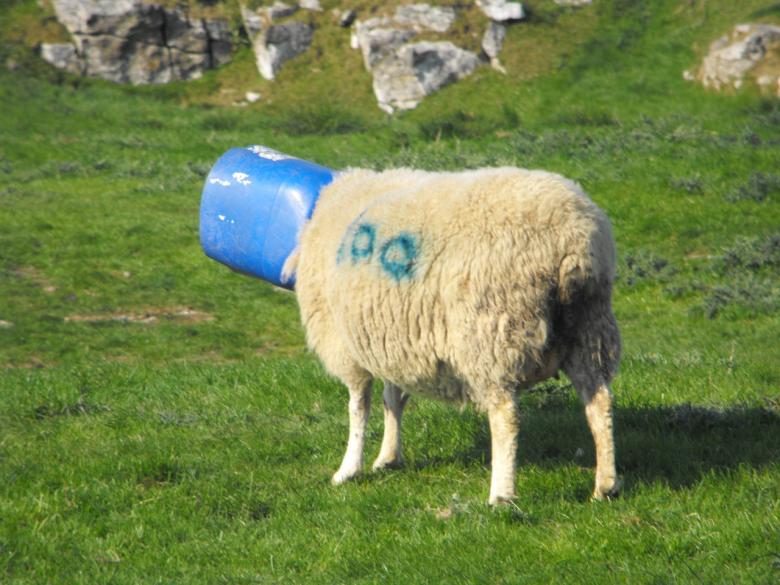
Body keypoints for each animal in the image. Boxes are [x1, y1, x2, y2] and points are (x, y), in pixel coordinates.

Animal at [283, 166, 621, 504]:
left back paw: (501, 494)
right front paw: (388, 457)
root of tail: (570, 243)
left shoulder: (343, 344)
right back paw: (606, 484)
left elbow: (358, 406)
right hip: (589, 327)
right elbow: (392, 398)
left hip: (494, 334)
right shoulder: (392, 339)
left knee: (506, 417)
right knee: (600, 402)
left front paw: (349, 469)